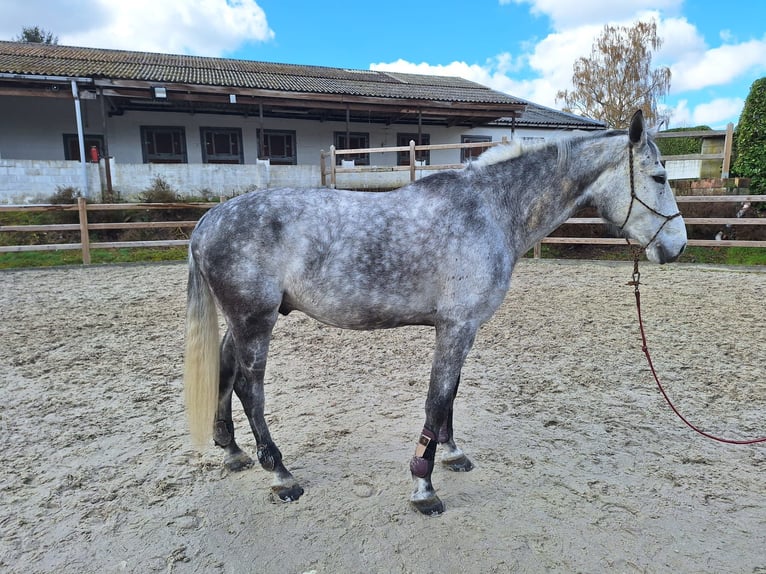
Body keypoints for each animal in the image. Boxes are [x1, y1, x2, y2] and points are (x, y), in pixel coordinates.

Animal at [183, 109, 687, 515]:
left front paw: (451, 453)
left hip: (243, 321)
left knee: (225, 370)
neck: (489, 210)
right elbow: (437, 398)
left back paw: (232, 451)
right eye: (660, 177)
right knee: (250, 390)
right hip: (255, 320)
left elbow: (451, 395)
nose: (677, 246)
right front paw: (424, 487)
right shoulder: (456, 326)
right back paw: (280, 474)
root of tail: (209, 220)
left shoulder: (462, 328)